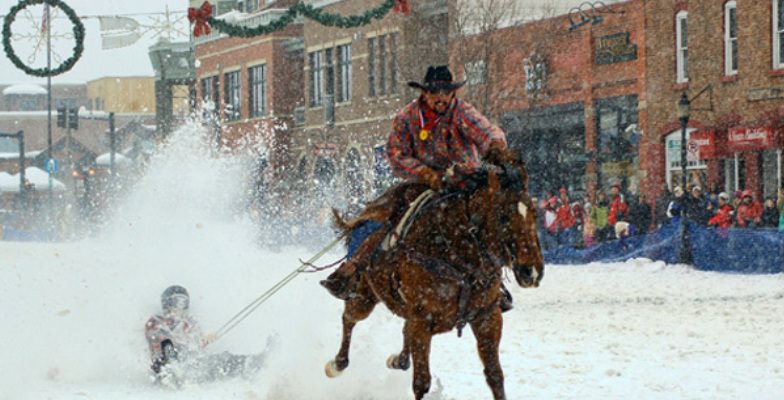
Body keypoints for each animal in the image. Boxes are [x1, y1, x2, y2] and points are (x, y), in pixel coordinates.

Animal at [324, 151, 544, 400]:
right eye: (503, 216)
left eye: (535, 213)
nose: (532, 271)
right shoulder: (422, 322)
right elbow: (422, 382)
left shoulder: (488, 317)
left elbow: (495, 376)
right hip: (364, 296)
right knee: (349, 318)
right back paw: (337, 364)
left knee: (401, 336)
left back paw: (397, 359)